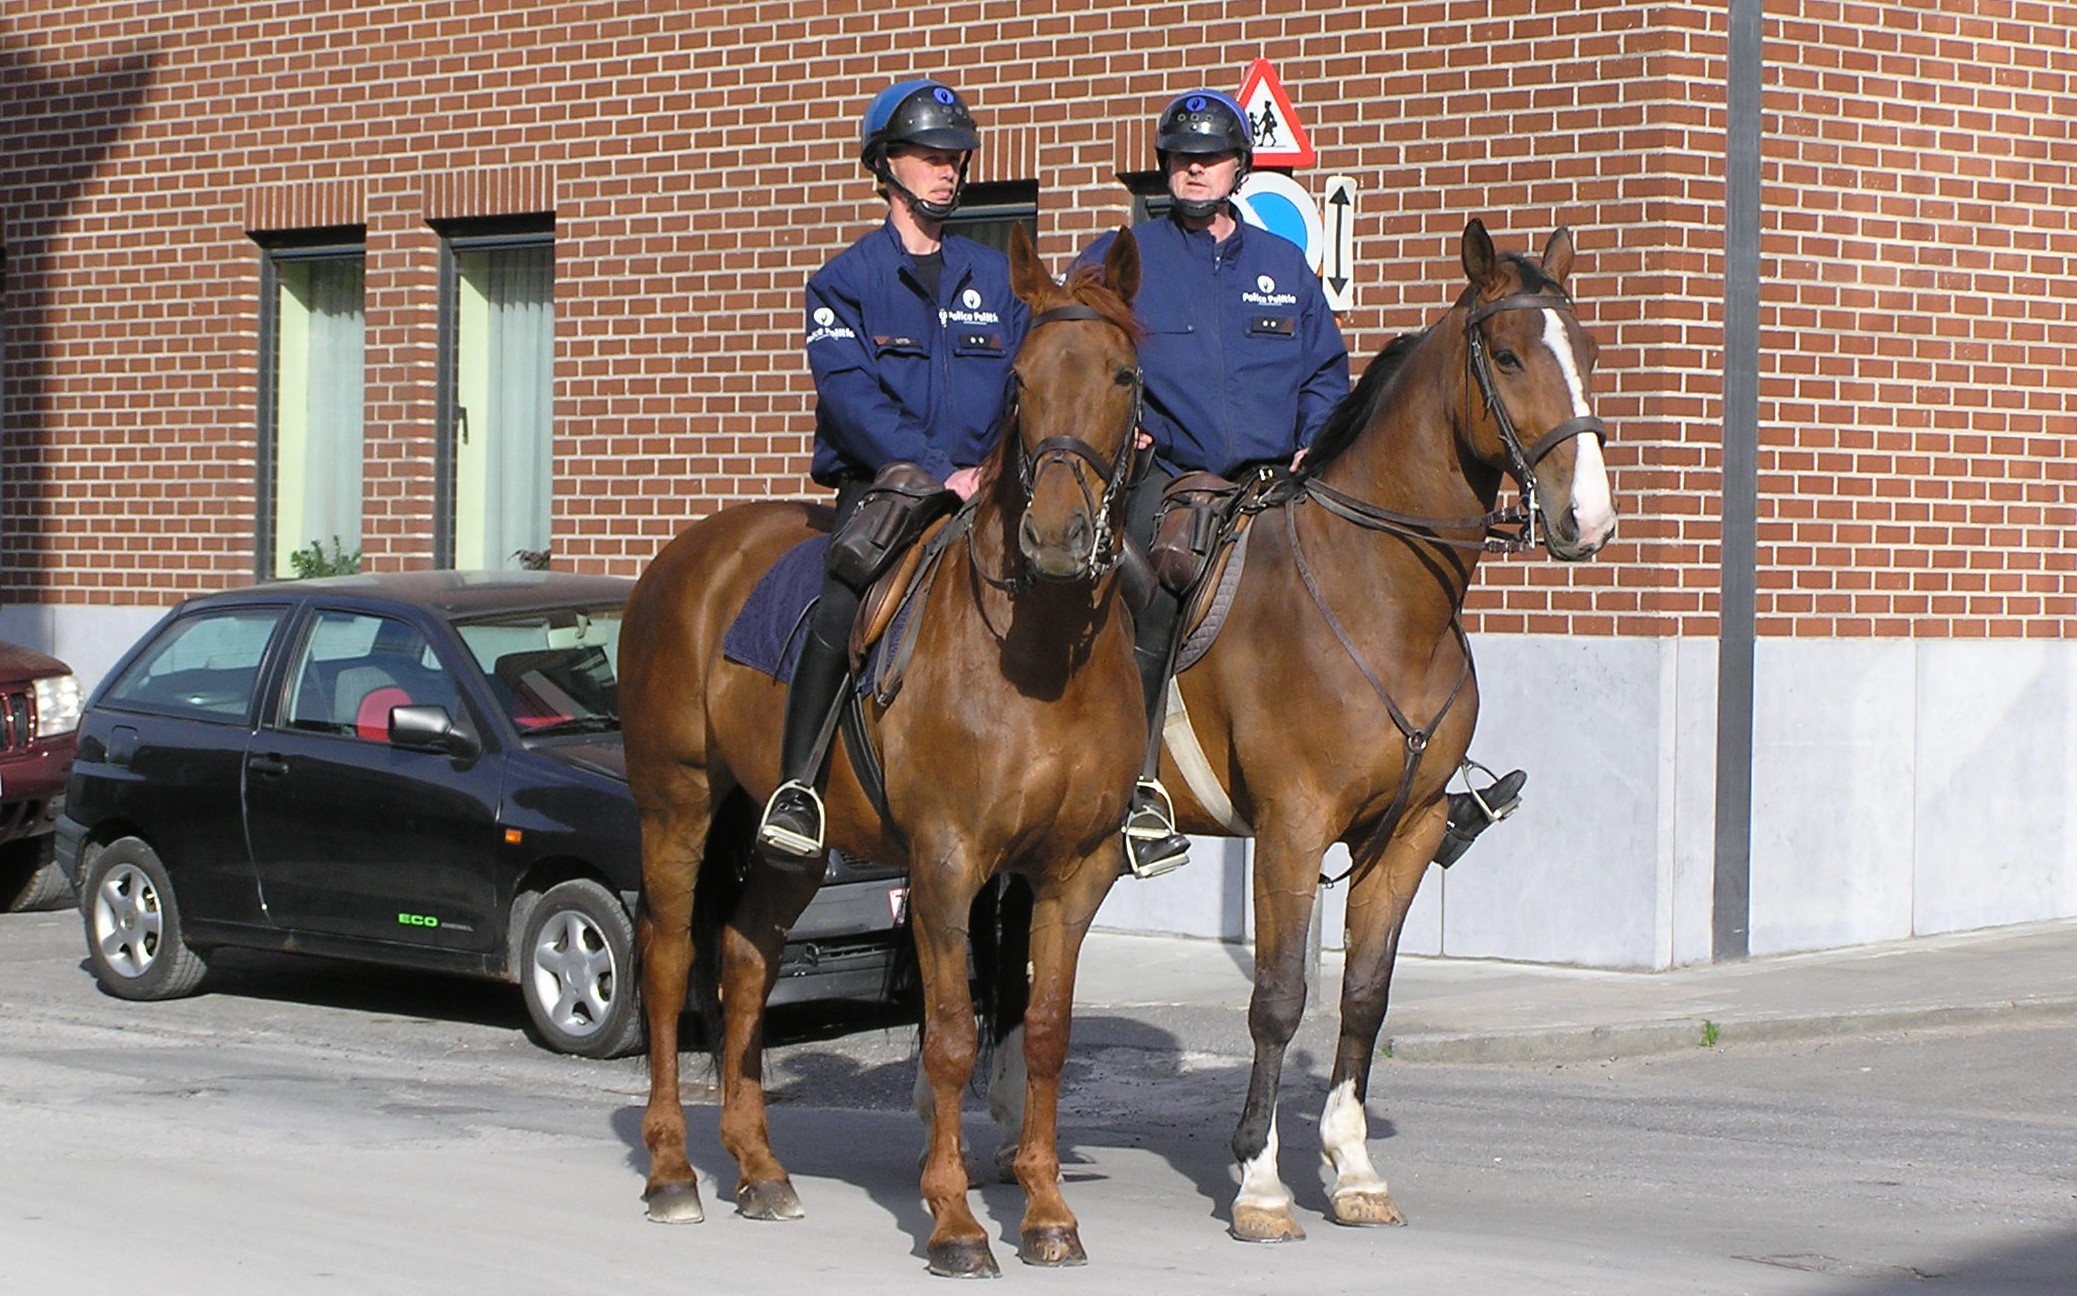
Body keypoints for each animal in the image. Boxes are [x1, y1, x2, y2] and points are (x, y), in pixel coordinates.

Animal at [619, 224, 1147, 1278]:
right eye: (1019, 380)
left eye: (1121, 375)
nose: (1057, 538)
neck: (1040, 654)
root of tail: (680, 559)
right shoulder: (947, 867)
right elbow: (947, 1039)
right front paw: (954, 1222)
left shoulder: (1074, 872)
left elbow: (1044, 1035)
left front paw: (1046, 1211)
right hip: (677, 805)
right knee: (666, 960)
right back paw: (671, 1173)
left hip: (793, 841)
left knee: (745, 955)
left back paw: (760, 1170)